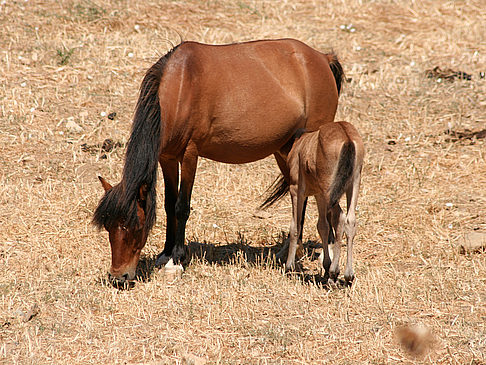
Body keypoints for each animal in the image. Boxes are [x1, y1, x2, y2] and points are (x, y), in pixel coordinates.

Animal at [94, 39, 346, 284]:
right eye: (108, 227)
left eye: (136, 226)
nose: (119, 277)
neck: (180, 88)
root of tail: (322, 58)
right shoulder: (167, 158)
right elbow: (168, 205)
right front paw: (165, 254)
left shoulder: (190, 155)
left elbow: (181, 207)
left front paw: (175, 261)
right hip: (285, 151)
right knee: (300, 195)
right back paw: (290, 251)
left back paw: (326, 254)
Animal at [284, 121, 364, 282]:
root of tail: (347, 138)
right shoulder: (319, 194)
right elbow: (323, 226)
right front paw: (326, 267)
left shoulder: (296, 190)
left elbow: (295, 226)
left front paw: (289, 267)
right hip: (353, 184)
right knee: (350, 220)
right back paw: (348, 275)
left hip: (330, 189)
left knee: (339, 218)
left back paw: (335, 272)